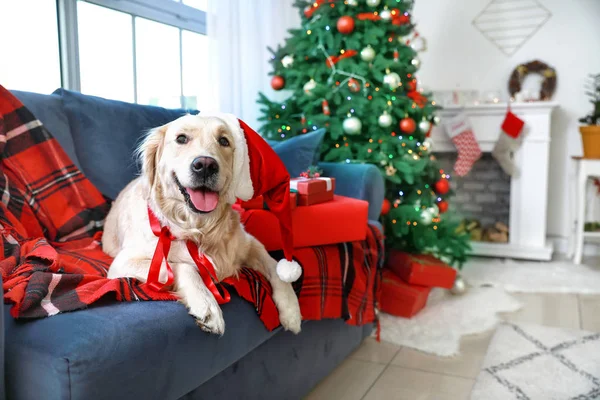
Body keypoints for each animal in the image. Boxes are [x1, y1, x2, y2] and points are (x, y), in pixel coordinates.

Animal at [102, 114, 302, 336]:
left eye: (224, 140)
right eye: (181, 138)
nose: (205, 165)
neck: (199, 228)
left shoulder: (250, 244)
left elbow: (276, 267)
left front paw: (292, 311)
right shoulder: (124, 262)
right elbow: (184, 266)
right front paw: (207, 305)